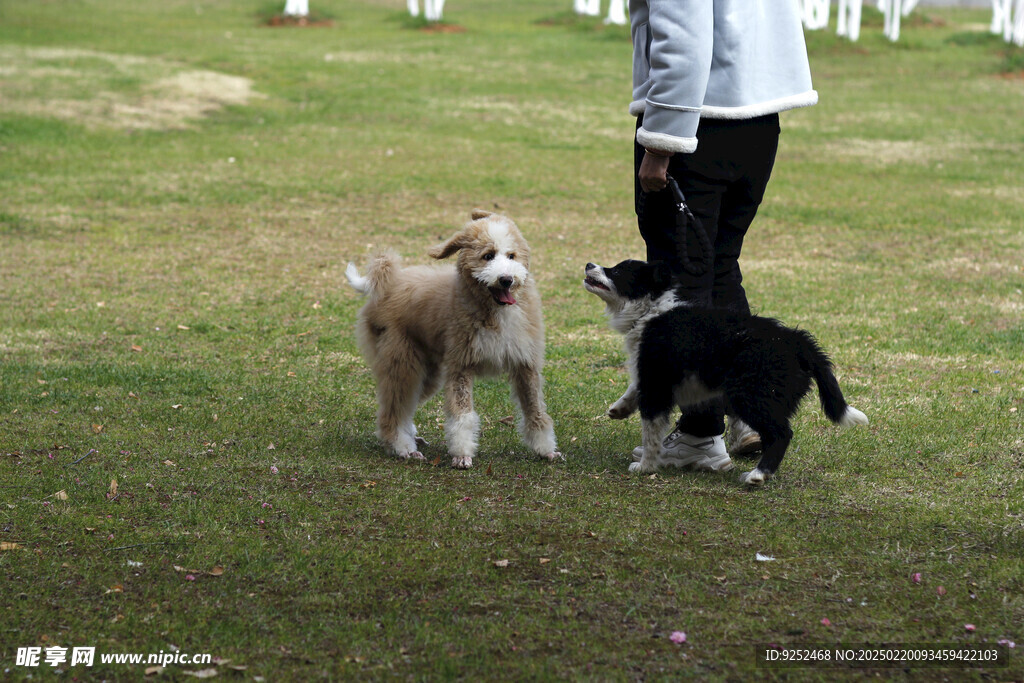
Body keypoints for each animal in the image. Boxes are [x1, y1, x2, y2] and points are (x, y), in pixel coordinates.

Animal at [346, 211, 561, 471]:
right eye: (488, 256)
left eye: (512, 256)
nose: (506, 279)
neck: (493, 312)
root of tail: (387, 284)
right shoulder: (461, 366)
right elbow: (462, 416)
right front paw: (462, 455)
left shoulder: (525, 365)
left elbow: (535, 411)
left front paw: (546, 451)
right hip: (402, 363)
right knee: (393, 410)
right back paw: (402, 447)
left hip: (427, 373)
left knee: (404, 407)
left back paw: (410, 437)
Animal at [585, 258, 864, 485]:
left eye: (617, 270)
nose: (589, 264)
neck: (649, 310)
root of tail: (798, 341)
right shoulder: (653, 374)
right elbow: (636, 387)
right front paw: (621, 408)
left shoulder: (657, 381)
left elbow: (651, 431)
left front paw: (646, 466)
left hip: (751, 394)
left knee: (781, 434)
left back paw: (758, 475)